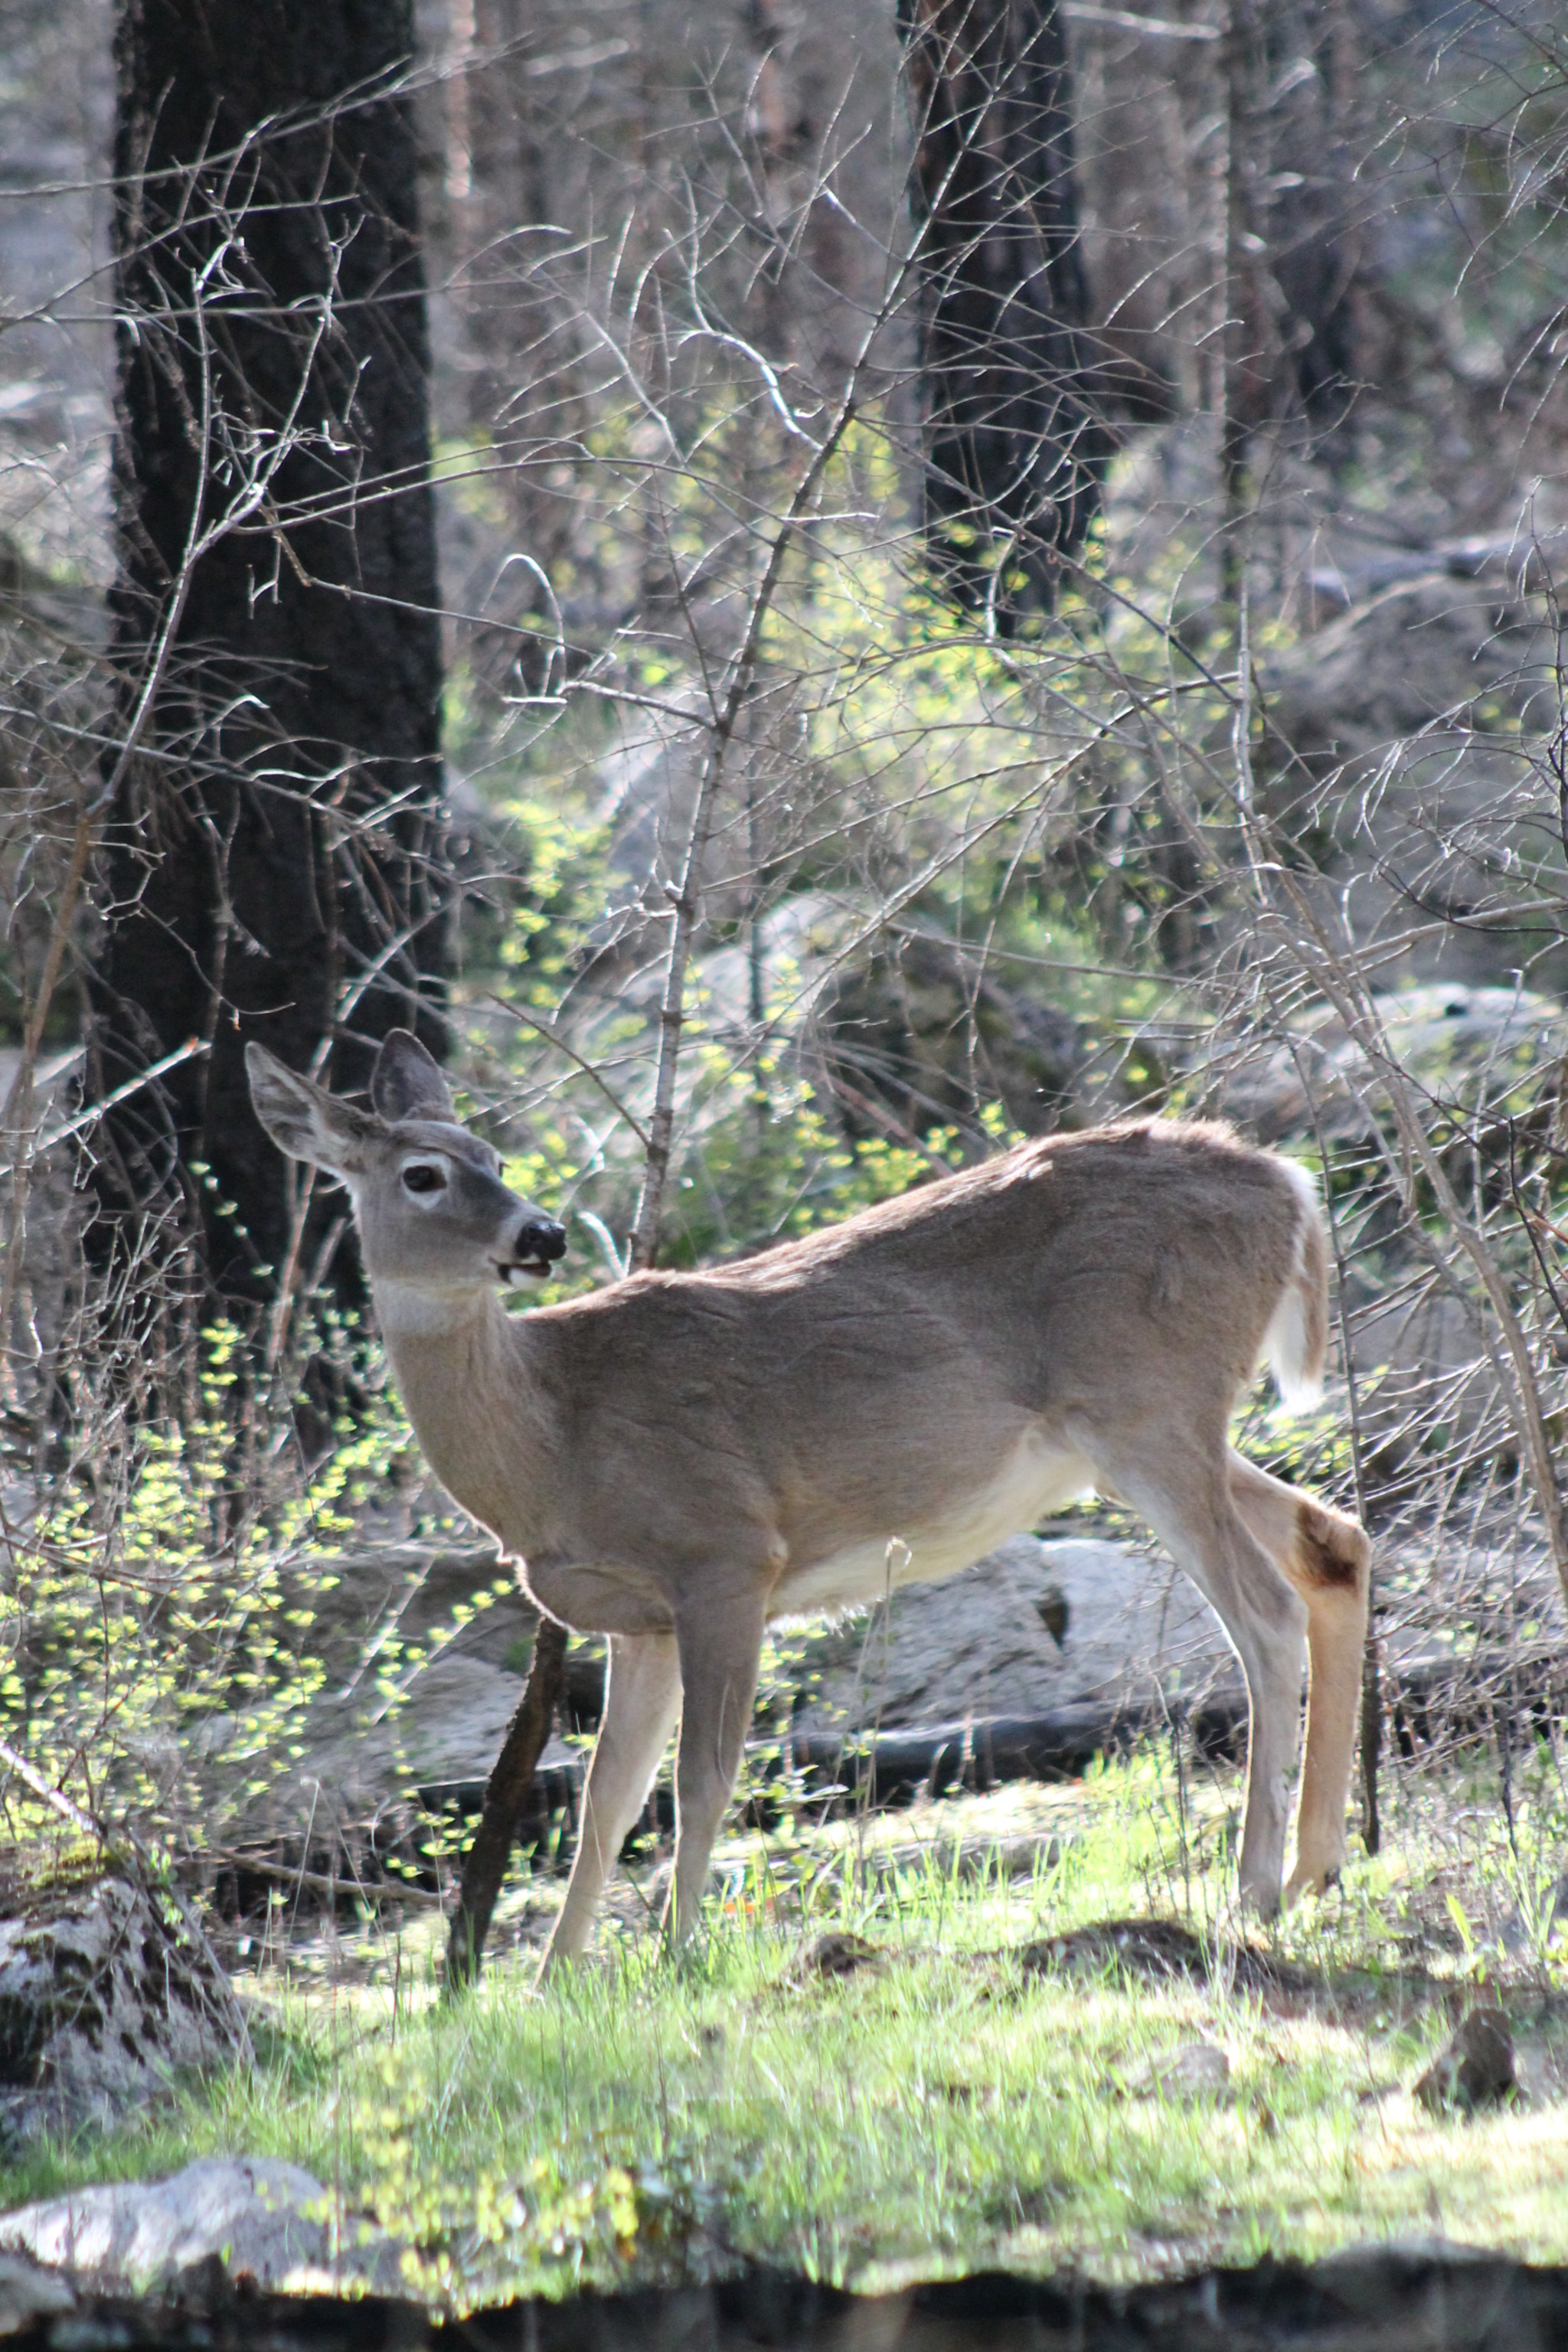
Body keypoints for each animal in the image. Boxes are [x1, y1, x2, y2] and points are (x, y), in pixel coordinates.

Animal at [247, 1030, 1370, 1975]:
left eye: (490, 1151)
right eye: (425, 1172)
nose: (544, 1233)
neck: (550, 1440)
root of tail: (1288, 1183)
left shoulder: (726, 1554)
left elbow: (702, 1780)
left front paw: (674, 1959)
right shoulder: (638, 1619)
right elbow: (607, 1802)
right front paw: (553, 1982)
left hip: (1148, 1405)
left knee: (1262, 1614)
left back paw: (1252, 1891)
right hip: (1146, 1433)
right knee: (1332, 1535)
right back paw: (1316, 1868)